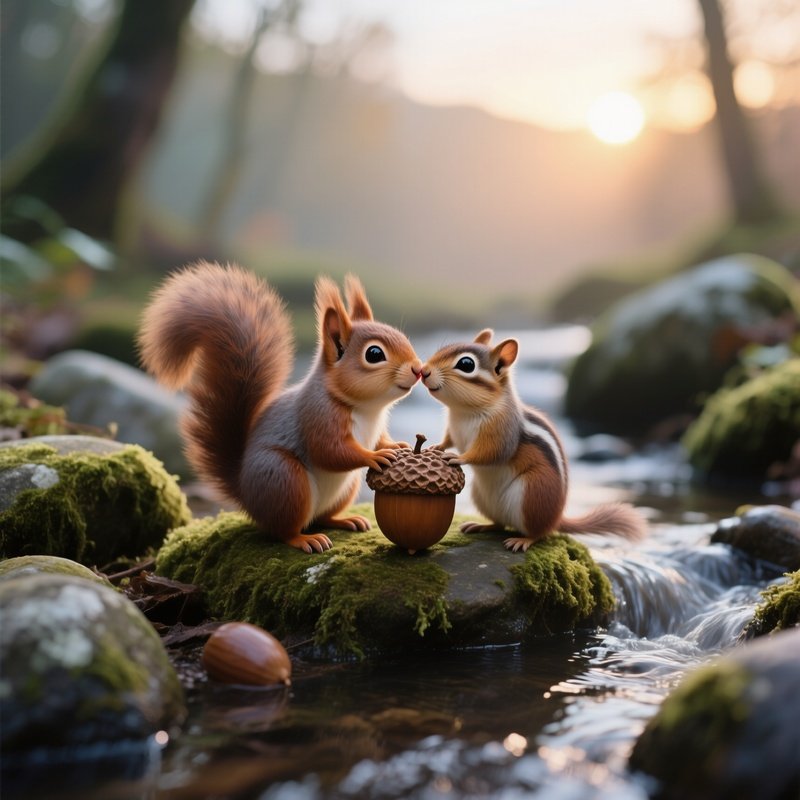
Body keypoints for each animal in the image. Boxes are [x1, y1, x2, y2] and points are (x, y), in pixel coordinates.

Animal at [138, 261, 423, 553]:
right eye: (374, 354)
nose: (418, 369)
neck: (366, 408)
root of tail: (246, 495)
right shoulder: (319, 415)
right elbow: (330, 451)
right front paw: (374, 457)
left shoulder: (375, 426)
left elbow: (379, 439)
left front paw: (395, 445)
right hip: (285, 479)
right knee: (282, 531)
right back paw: (305, 539)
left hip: (343, 488)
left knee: (322, 517)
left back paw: (344, 520)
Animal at [420, 329, 646, 552]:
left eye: (466, 364)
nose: (424, 371)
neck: (464, 412)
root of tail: (557, 518)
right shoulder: (453, 428)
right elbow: (449, 439)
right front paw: (436, 446)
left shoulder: (502, 431)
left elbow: (491, 452)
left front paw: (459, 457)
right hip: (481, 495)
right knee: (500, 524)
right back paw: (480, 525)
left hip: (532, 493)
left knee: (540, 533)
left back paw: (523, 540)